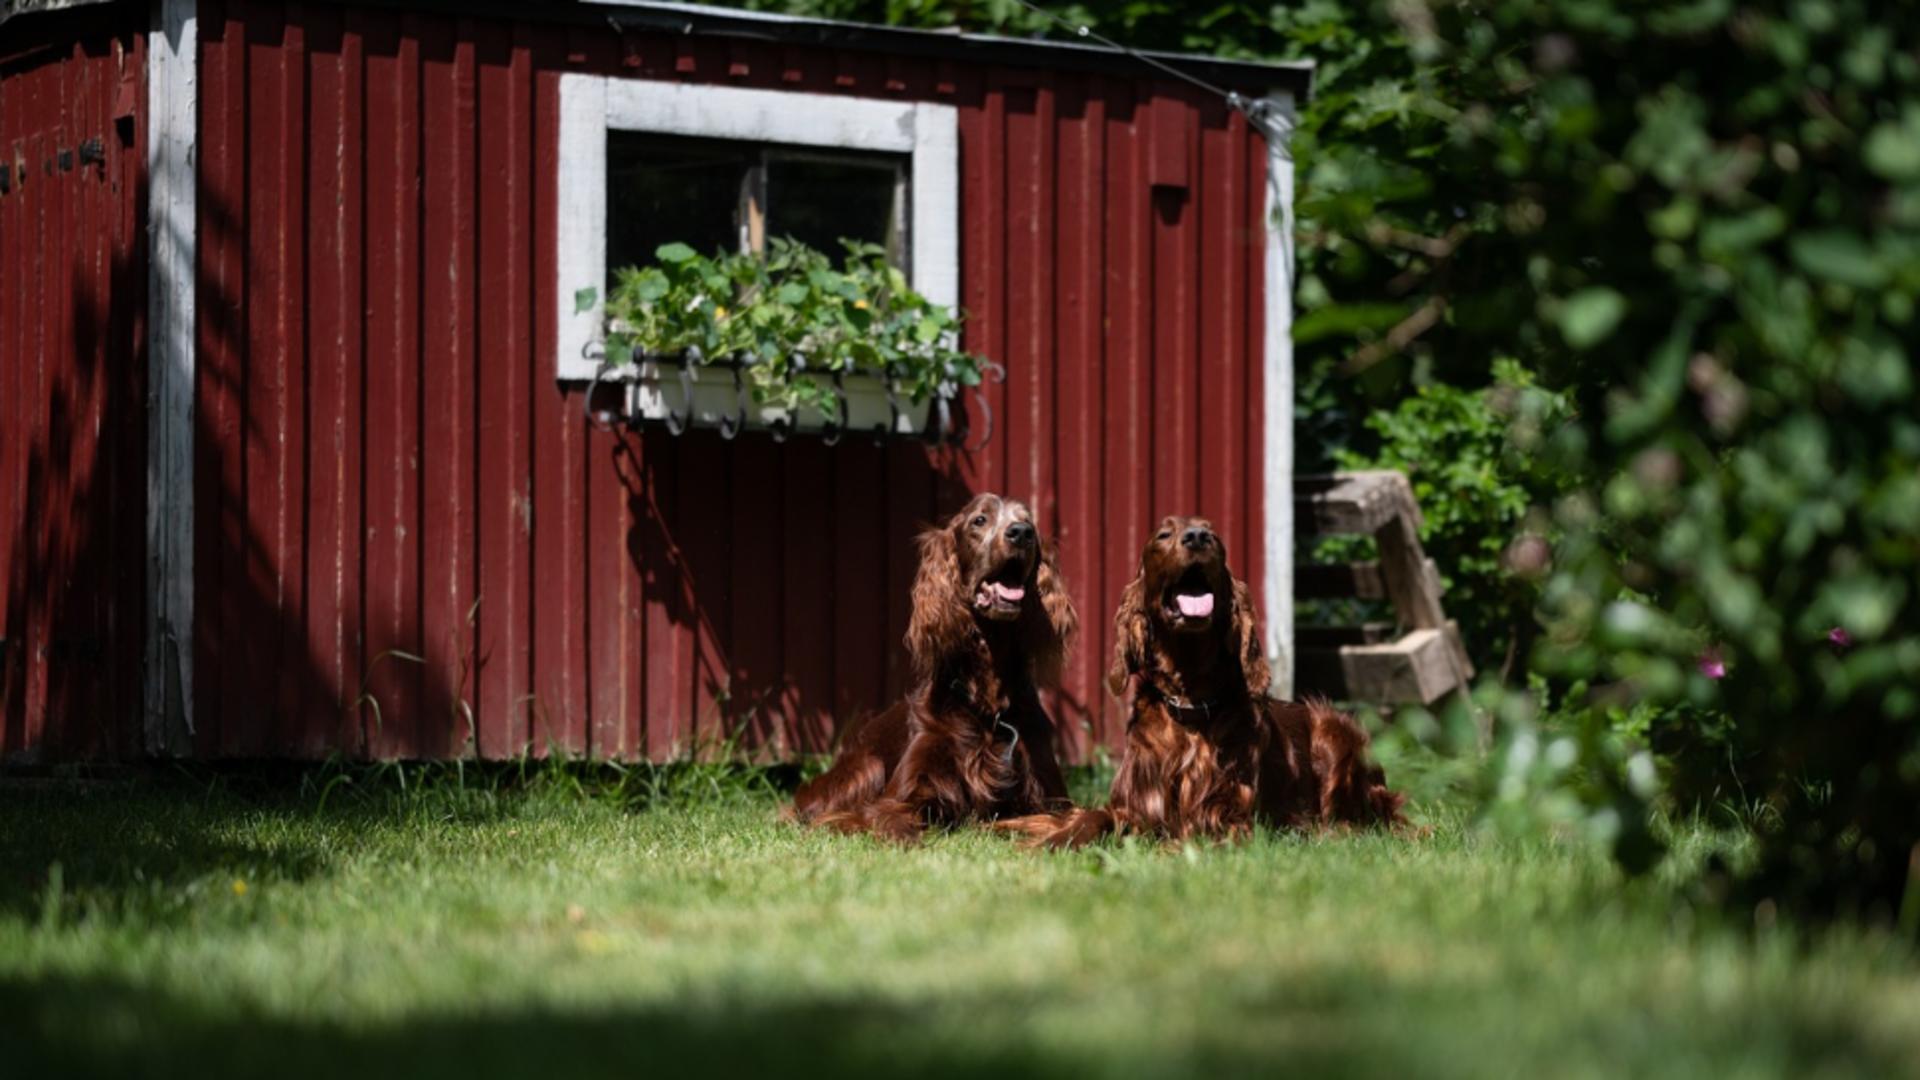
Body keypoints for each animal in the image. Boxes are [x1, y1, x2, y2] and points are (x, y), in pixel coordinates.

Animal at [783, 495, 1082, 841]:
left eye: (1029, 522)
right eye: (979, 520)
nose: (1021, 533)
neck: (987, 705)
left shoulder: (1051, 797)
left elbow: (1068, 819)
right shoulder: (899, 798)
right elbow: (893, 822)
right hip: (866, 768)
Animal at [1006, 507, 1397, 845]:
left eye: (1215, 536)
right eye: (1163, 535)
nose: (1197, 537)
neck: (1189, 701)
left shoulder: (1225, 814)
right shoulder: (1133, 804)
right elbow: (1092, 817)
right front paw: (1055, 839)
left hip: (1335, 731)